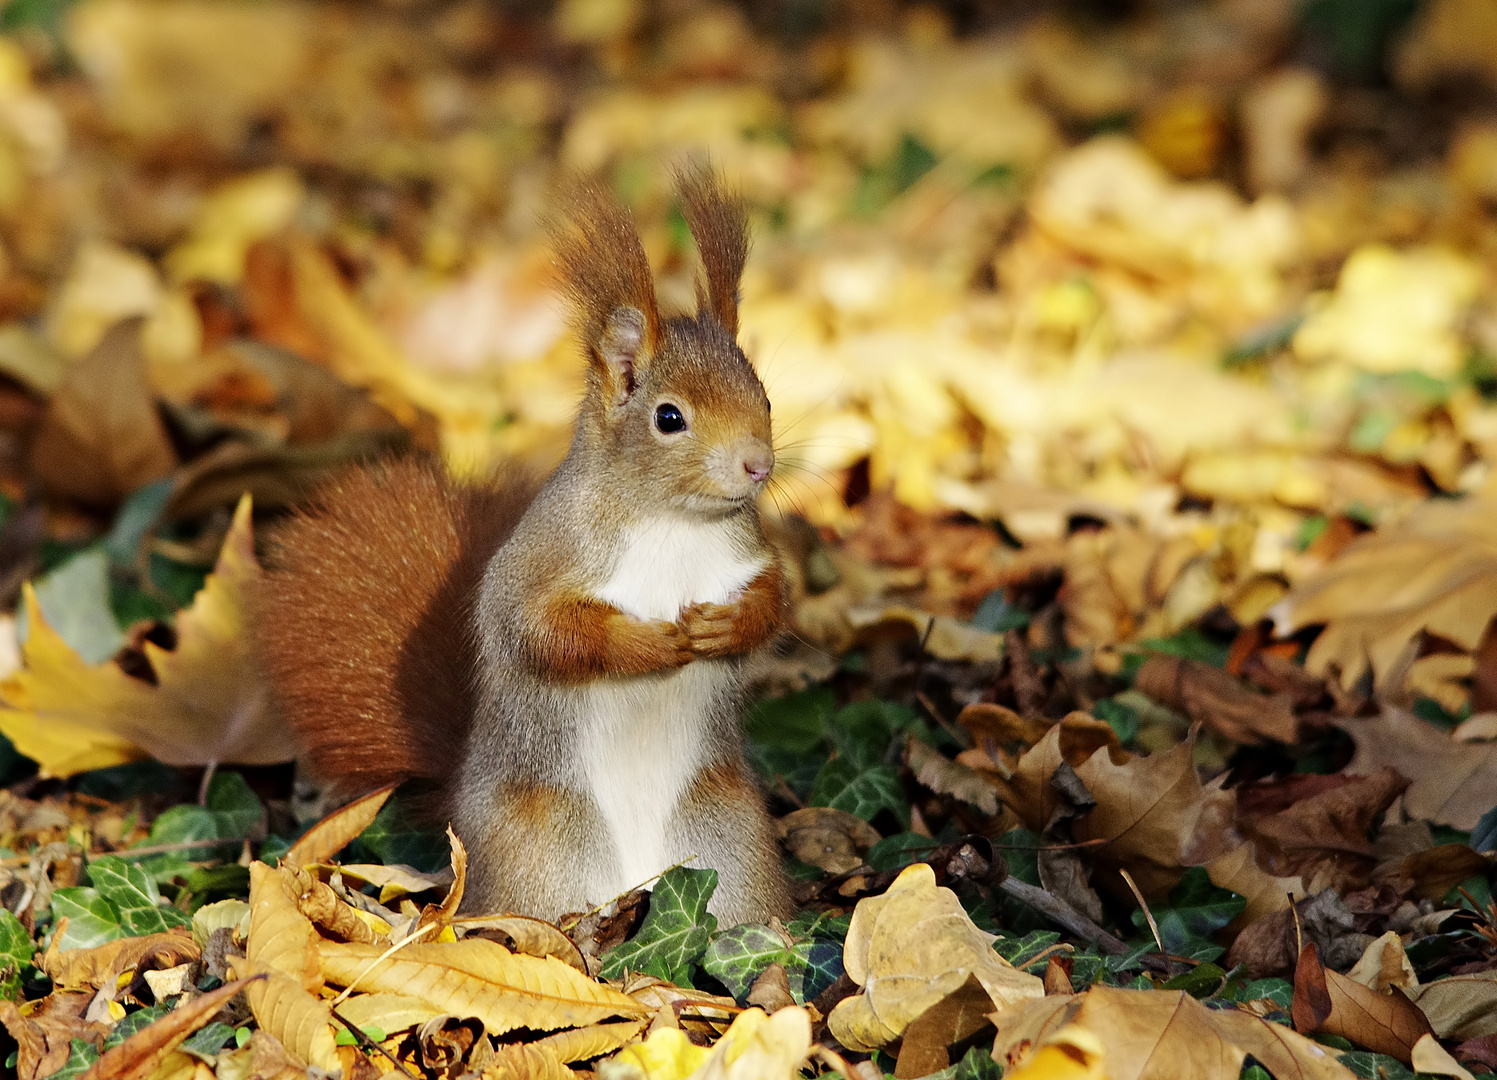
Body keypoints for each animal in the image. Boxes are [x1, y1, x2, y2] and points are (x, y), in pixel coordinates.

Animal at [254, 170, 796, 928]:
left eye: (765, 399)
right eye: (669, 418)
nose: (757, 465)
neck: (673, 522)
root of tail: (638, 880)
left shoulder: (746, 551)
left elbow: (773, 600)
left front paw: (727, 625)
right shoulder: (547, 558)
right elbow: (538, 631)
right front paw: (645, 644)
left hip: (729, 845)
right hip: (534, 854)